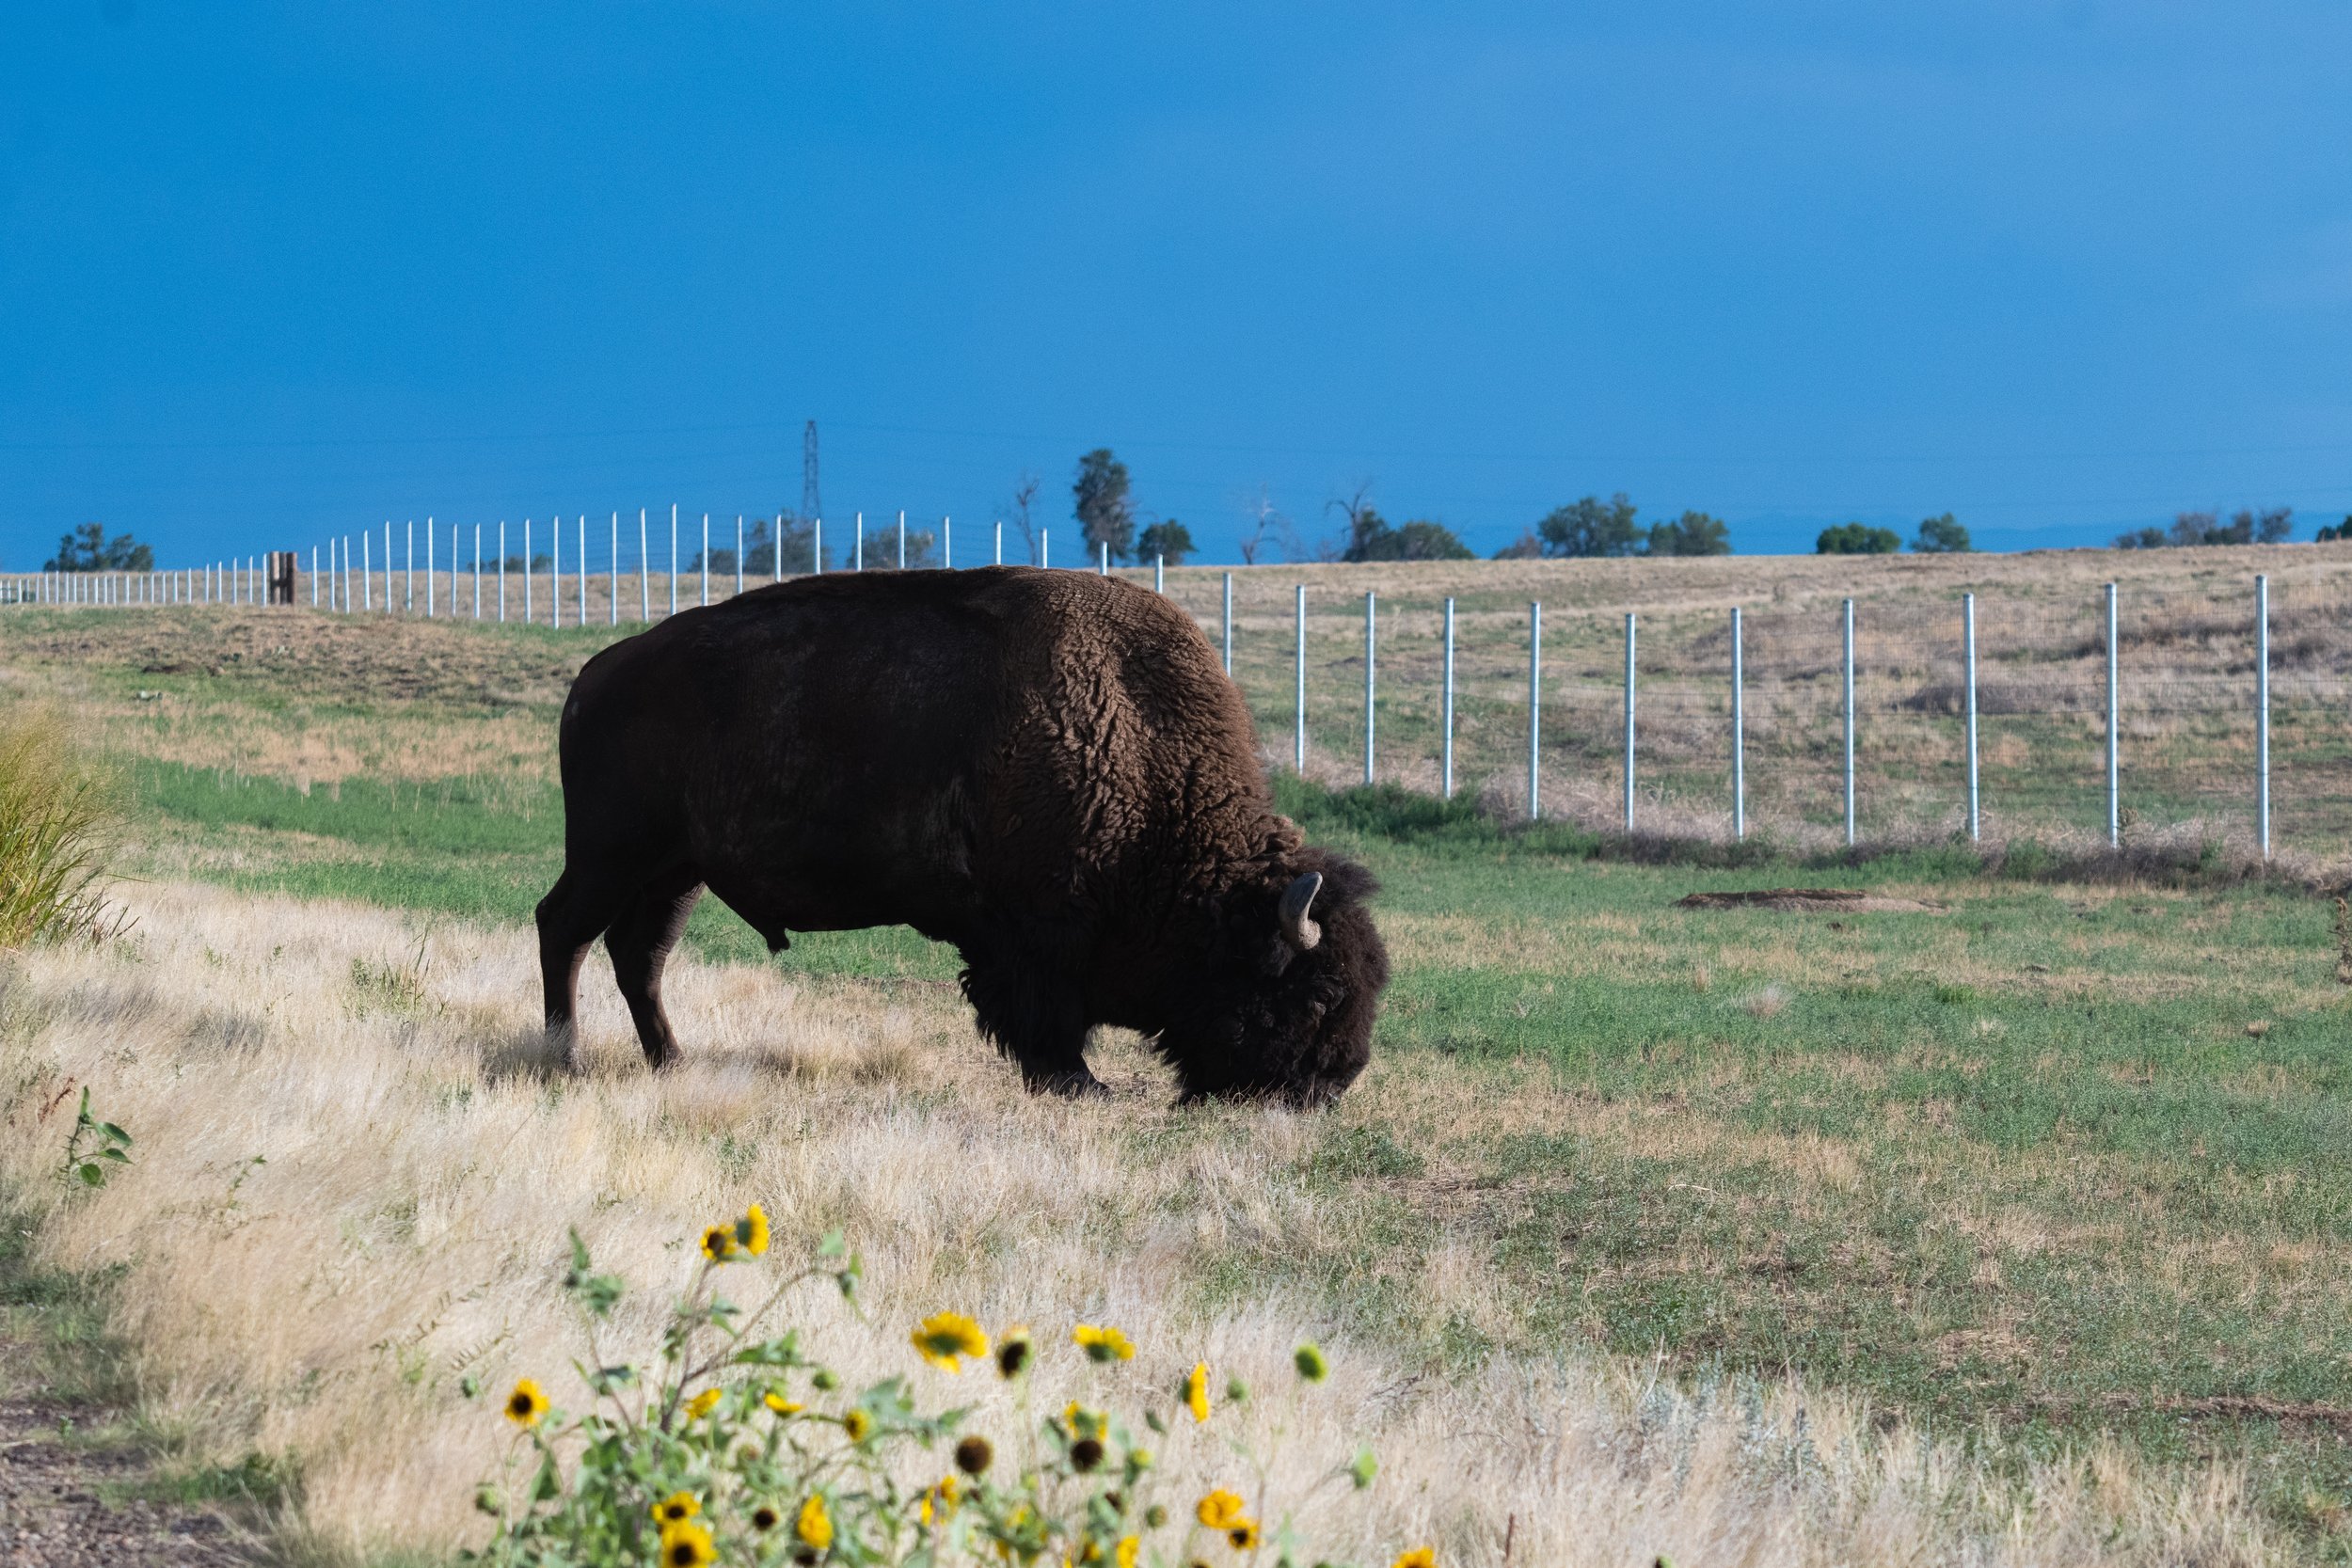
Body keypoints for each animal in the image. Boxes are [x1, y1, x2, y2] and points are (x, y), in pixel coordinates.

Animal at [536, 567, 1388, 1106]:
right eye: (1317, 994)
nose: (1331, 1086)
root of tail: (591, 678)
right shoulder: (1038, 937)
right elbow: (1048, 1017)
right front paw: (1082, 1085)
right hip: (612, 855)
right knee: (564, 928)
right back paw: (563, 1061)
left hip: (674, 871)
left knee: (638, 954)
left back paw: (671, 1063)